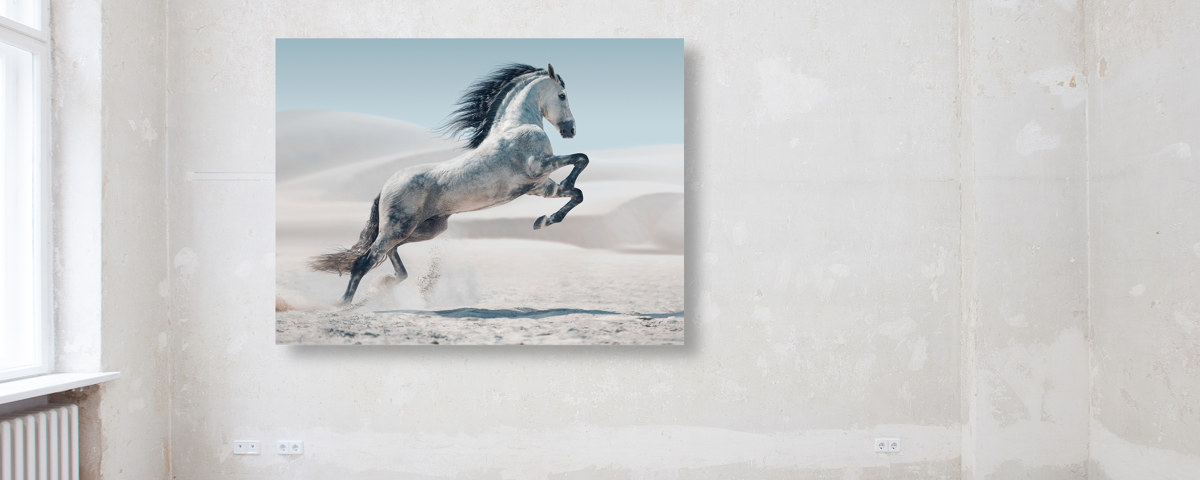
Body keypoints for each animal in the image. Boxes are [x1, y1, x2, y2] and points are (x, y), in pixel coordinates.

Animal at [309, 63, 590, 306]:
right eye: (562, 95)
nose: (571, 130)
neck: (516, 126)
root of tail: (386, 186)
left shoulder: (540, 187)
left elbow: (576, 193)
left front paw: (543, 221)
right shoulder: (538, 166)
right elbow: (581, 159)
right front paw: (549, 212)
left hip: (424, 229)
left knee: (390, 256)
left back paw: (382, 287)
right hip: (399, 228)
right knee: (365, 260)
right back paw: (344, 304)